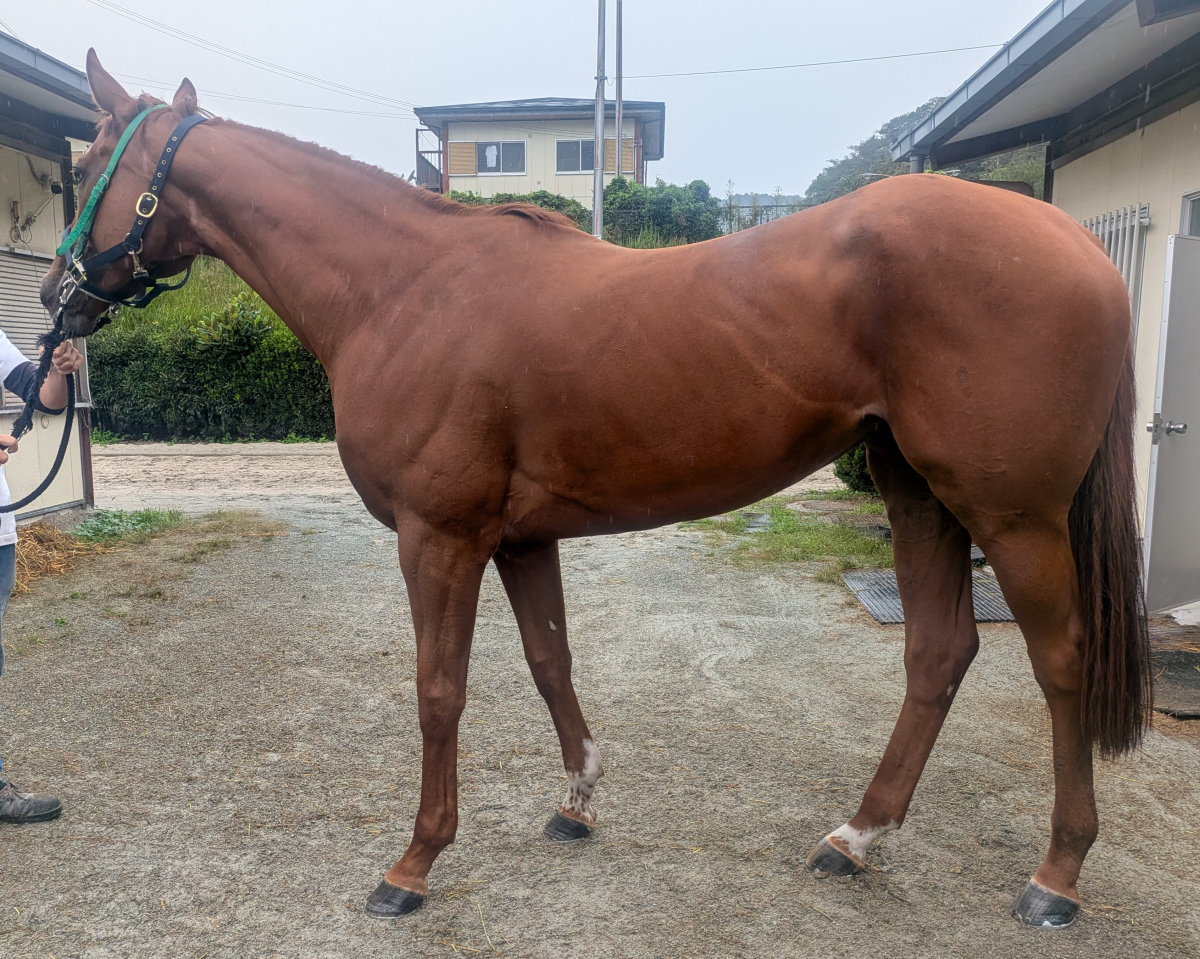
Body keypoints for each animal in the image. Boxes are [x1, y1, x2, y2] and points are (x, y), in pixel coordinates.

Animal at [42, 52, 1150, 929]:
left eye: (87, 168)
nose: (57, 299)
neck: (405, 288)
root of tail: (1080, 247)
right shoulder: (520, 538)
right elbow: (549, 662)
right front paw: (575, 801)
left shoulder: (438, 536)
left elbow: (439, 691)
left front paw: (413, 862)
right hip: (915, 489)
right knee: (938, 652)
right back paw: (856, 835)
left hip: (1012, 514)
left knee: (1060, 659)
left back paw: (1056, 876)